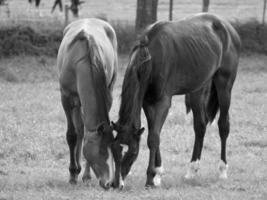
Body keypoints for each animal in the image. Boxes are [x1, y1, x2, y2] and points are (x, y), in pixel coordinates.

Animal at [57, 17, 118, 189]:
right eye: (102, 151)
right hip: (76, 103)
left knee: (82, 130)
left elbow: (84, 136)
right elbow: (72, 135)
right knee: (78, 130)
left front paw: (85, 175)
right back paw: (75, 172)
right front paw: (72, 174)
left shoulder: (107, 94)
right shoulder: (66, 98)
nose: (110, 183)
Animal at [111, 12, 243, 188]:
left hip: (224, 86)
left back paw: (222, 171)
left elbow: (153, 138)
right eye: (113, 149)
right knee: (200, 126)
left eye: (132, 152)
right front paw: (158, 173)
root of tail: (227, 27)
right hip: (197, 89)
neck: (151, 56)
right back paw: (191, 171)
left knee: (223, 125)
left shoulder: (163, 102)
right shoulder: (147, 102)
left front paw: (150, 178)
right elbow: (154, 134)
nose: (116, 184)